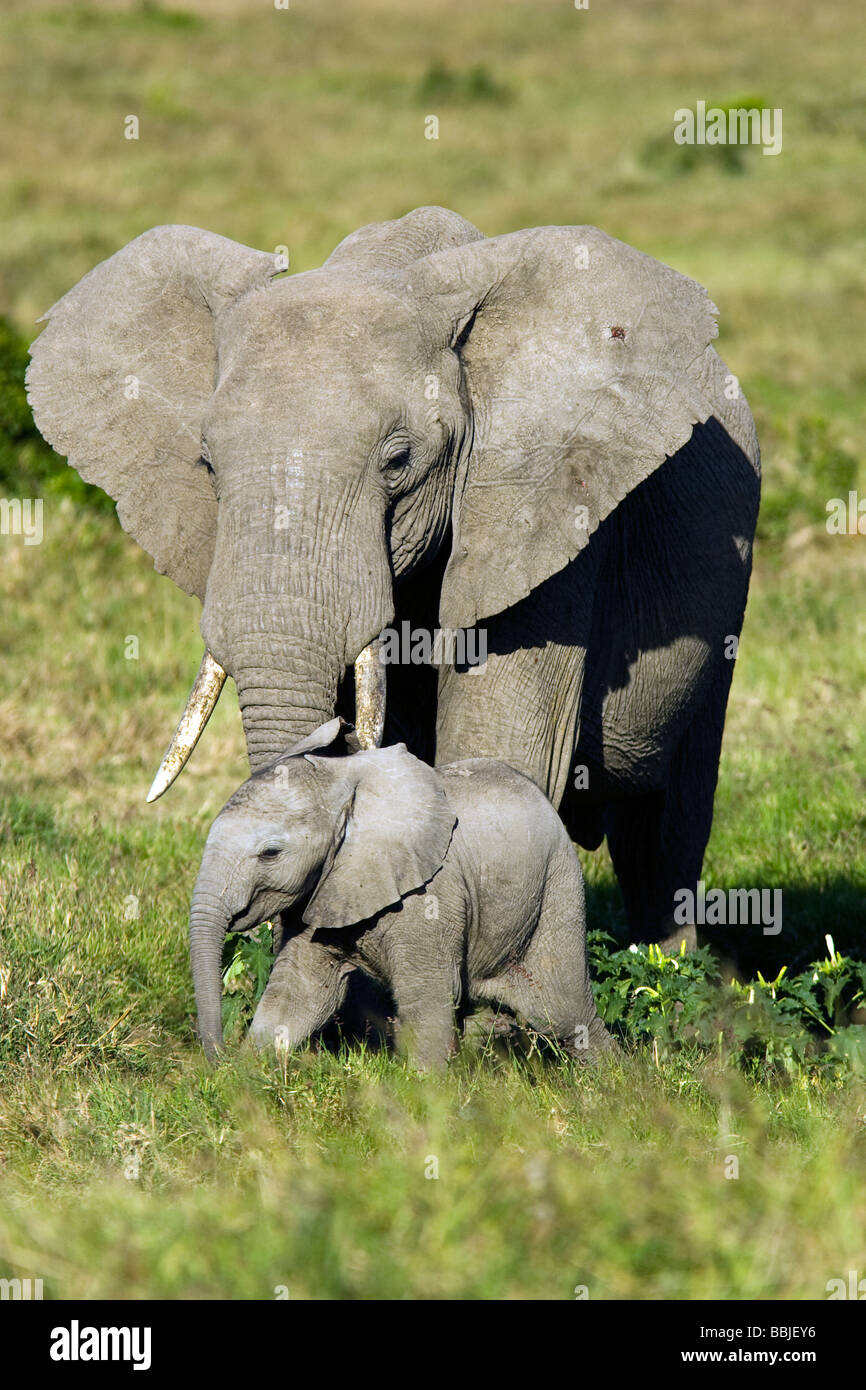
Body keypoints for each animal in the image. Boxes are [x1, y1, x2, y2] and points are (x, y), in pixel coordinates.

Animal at [188, 716, 616, 1067]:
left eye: (270, 853)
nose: (218, 1057)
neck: (343, 782)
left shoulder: (430, 896)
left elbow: (426, 997)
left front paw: (424, 1097)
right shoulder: (324, 888)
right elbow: (299, 991)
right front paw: (246, 1080)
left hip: (556, 886)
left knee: (564, 1011)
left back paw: (613, 1088)